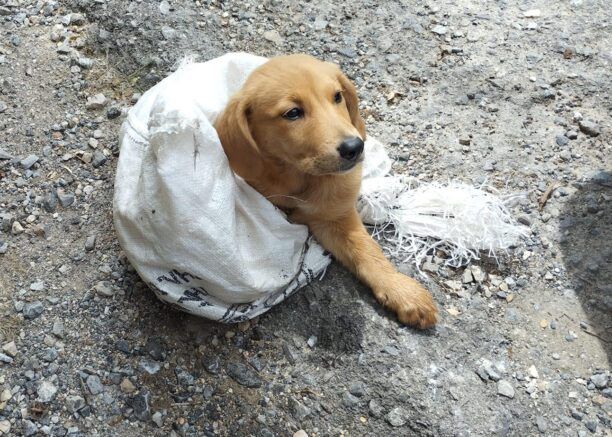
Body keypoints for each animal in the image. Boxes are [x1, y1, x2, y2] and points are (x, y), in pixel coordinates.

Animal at [218, 53, 438, 328]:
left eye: (337, 97)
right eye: (292, 113)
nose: (355, 147)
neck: (300, 179)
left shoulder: (334, 217)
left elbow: (367, 250)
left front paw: (400, 290)